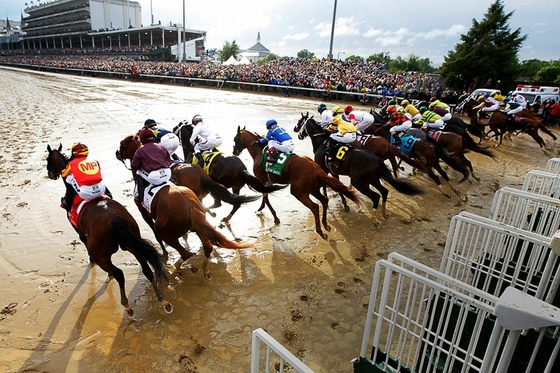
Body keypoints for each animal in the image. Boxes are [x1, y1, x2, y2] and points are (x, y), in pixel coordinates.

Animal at [46, 144, 171, 316]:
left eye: (47, 159)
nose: (50, 174)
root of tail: (115, 219)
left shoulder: (79, 229)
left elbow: (83, 240)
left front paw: (90, 259)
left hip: (103, 255)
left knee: (119, 273)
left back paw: (127, 305)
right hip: (132, 244)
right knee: (147, 269)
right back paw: (162, 299)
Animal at [115, 133, 262, 221]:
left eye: (122, 144)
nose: (117, 153)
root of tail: (242, 168)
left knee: (218, 203)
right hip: (231, 186)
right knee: (232, 203)